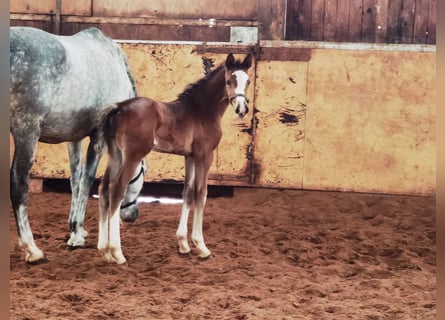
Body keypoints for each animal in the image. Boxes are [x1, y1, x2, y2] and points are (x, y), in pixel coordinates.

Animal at [9, 26, 144, 262]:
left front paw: (76, 229)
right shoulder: (99, 136)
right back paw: (32, 250)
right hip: (26, 131)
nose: (132, 216)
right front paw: (77, 235)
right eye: (141, 172)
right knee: (18, 183)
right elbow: (87, 179)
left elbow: (75, 178)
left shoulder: (74, 138)